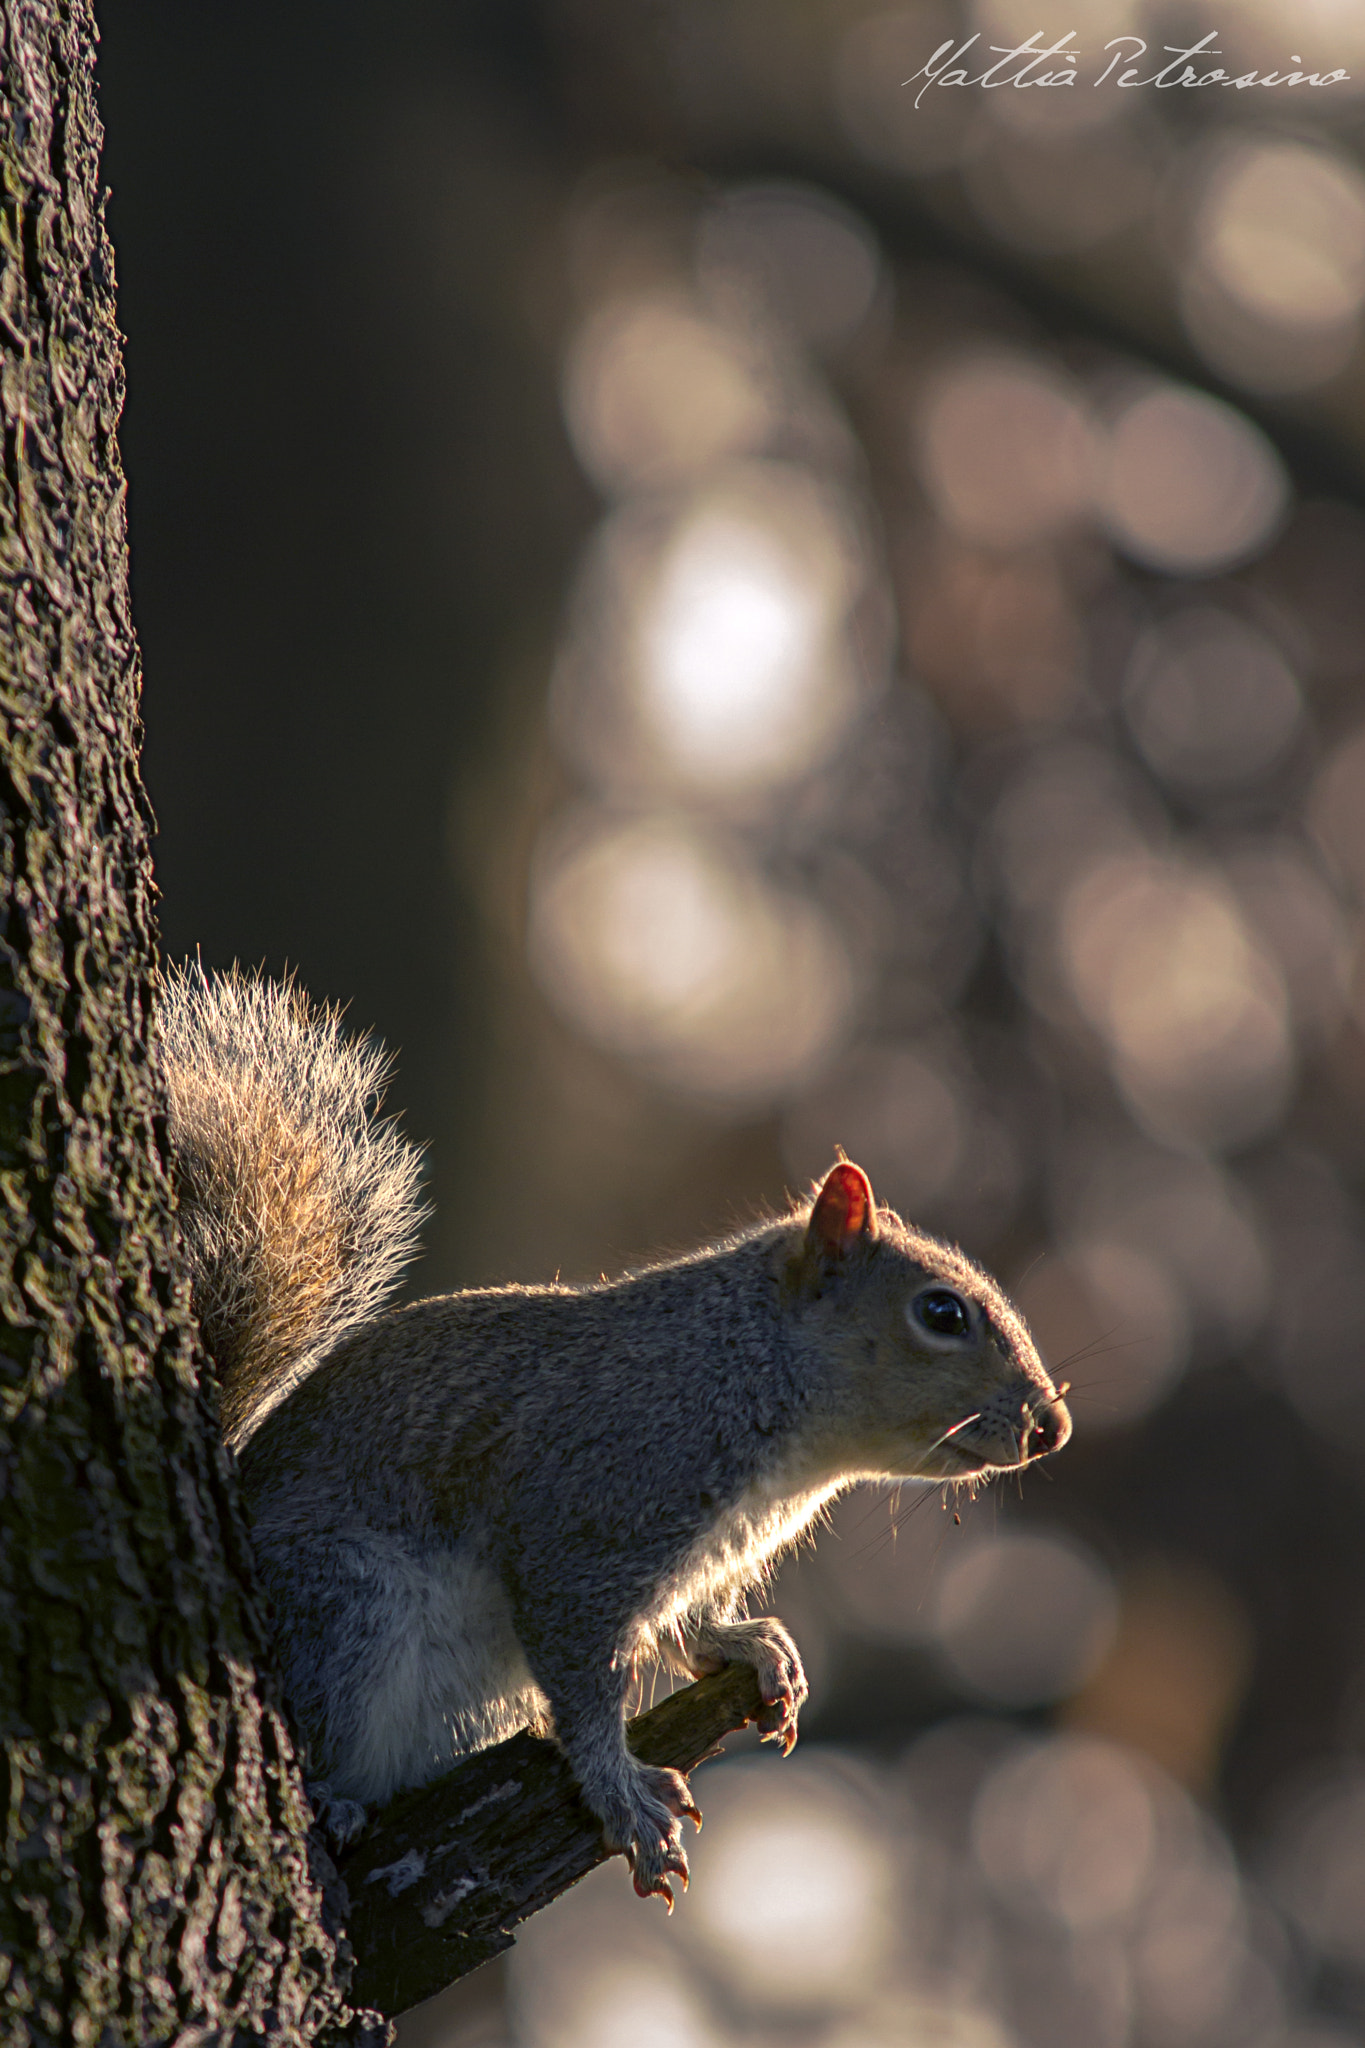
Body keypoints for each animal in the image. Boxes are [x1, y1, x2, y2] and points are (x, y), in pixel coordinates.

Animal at [160, 958, 1072, 1900]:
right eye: (940, 1313)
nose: (1052, 1427)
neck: (745, 1375)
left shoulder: (703, 1555)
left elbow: (689, 1624)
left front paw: (756, 1648)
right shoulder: (591, 1520)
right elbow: (582, 1679)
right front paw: (625, 1795)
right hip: (344, 1600)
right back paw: (331, 1800)